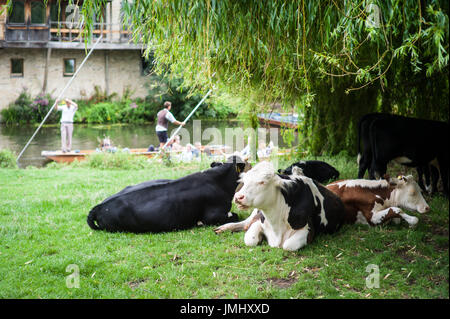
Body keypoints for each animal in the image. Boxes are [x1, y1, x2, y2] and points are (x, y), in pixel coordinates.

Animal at [216, 162, 346, 252]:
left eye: (262, 182)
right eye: (245, 181)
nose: (238, 197)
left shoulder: (307, 229)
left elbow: (288, 245)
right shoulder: (259, 219)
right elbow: (250, 239)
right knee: (245, 222)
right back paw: (224, 227)